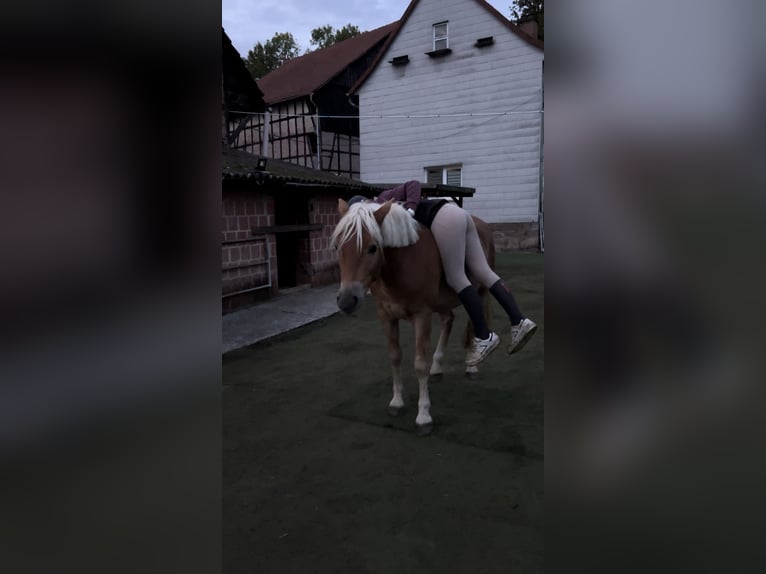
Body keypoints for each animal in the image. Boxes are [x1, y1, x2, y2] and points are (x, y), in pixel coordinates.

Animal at [332, 199, 496, 436]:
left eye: (372, 247)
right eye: (337, 247)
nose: (346, 301)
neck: (402, 263)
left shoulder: (422, 315)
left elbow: (419, 363)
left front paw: (423, 415)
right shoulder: (386, 315)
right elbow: (394, 356)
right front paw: (397, 402)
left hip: (480, 293)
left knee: (474, 323)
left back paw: (472, 366)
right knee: (448, 320)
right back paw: (437, 368)